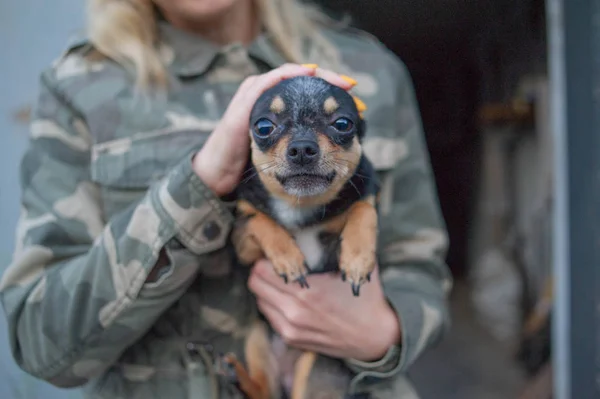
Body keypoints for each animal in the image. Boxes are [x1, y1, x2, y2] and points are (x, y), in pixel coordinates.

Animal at [219, 76, 380, 399]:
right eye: (264, 127)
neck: (300, 205)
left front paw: (357, 260)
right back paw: (237, 375)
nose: (303, 148)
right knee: (265, 390)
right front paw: (289, 260)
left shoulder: (364, 195)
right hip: (257, 336)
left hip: (316, 364)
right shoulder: (244, 245)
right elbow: (261, 221)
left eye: (342, 124)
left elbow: (364, 209)